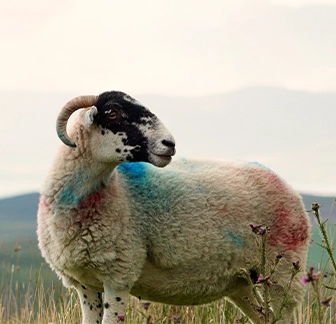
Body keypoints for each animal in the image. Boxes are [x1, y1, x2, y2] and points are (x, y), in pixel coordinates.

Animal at [36, 90, 310, 324]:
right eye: (113, 113)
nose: (169, 144)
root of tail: (291, 190)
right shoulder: (85, 284)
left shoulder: (119, 276)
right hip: (244, 281)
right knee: (265, 317)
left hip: (283, 271)